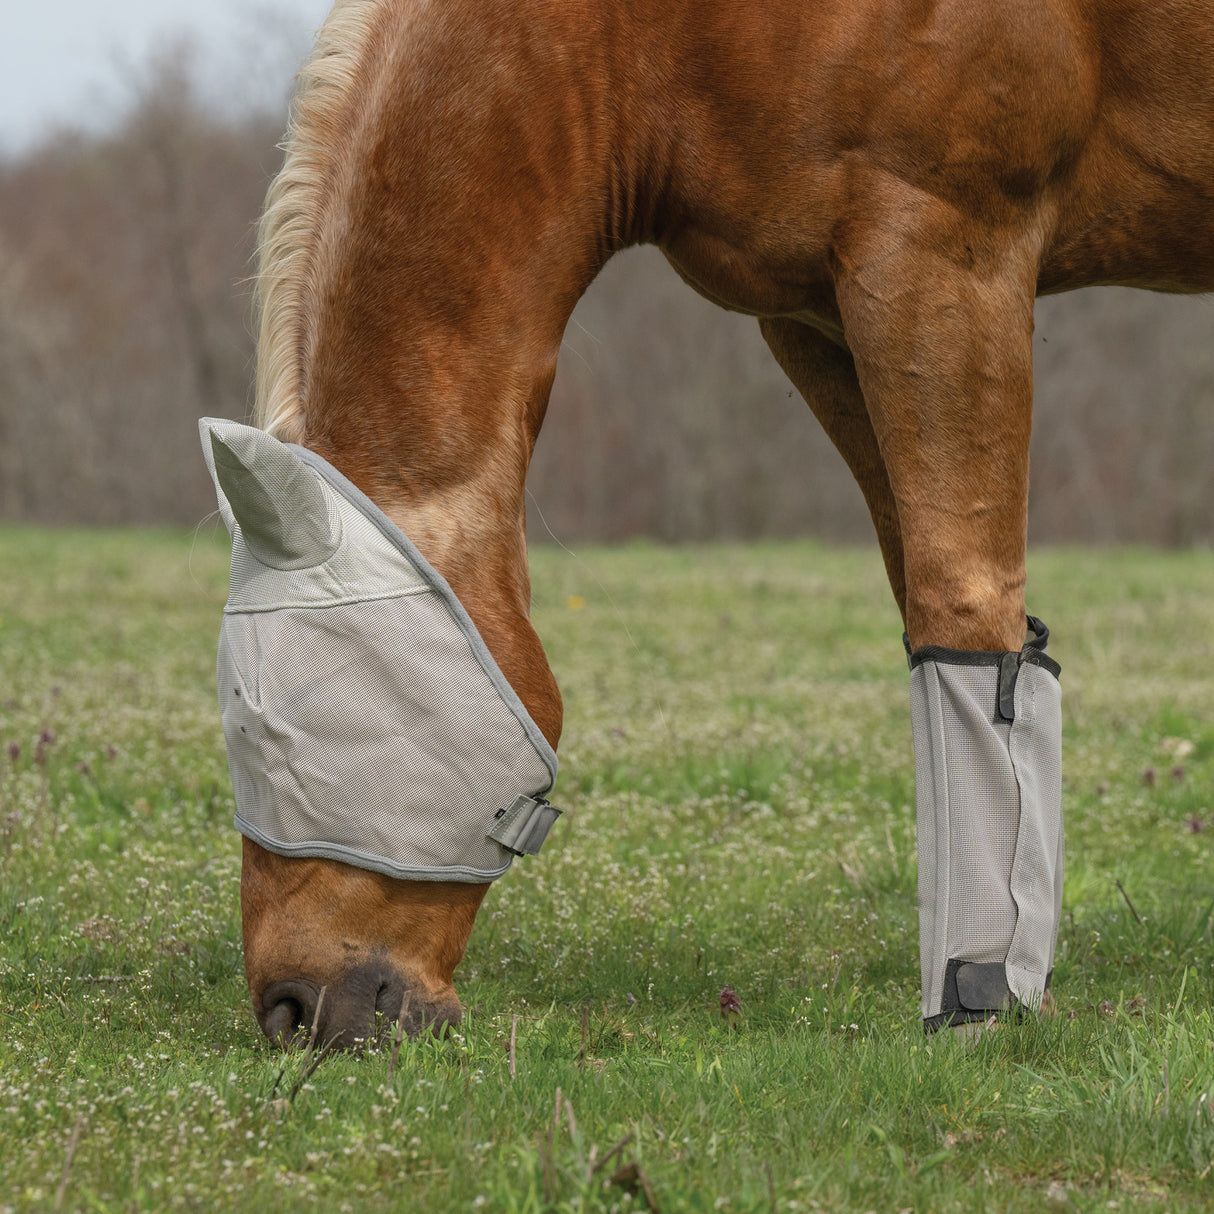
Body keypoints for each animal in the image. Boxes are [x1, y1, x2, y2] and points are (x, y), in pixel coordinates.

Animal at [230, 0, 1214, 1047]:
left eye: (296, 727)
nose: (293, 1011)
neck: (643, 41)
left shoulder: (946, 250)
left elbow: (965, 605)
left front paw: (980, 1000)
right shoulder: (816, 313)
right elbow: (929, 606)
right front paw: (1021, 980)